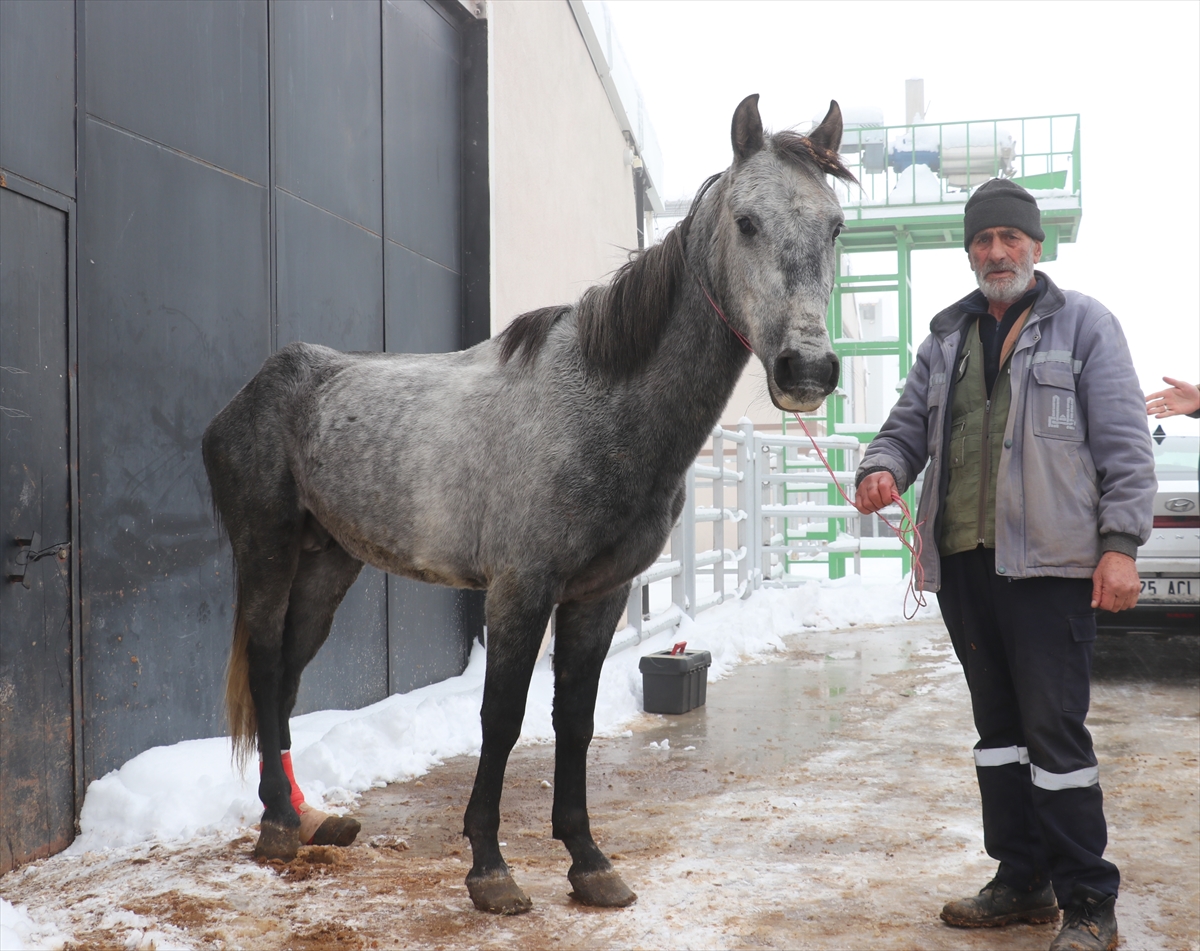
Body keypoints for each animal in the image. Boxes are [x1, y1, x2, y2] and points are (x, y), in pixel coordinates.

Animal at [201, 94, 849, 912]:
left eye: (836, 225)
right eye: (747, 221)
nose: (808, 369)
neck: (598, 403)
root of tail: (254, 391)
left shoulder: (599, 595)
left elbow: (573, 720)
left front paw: (588, 859)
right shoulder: (519, 589)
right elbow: (502, 718)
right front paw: (489, 866)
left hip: (329, 566)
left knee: (285, 675)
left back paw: (306, 816)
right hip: (267, 551)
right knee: (263, 665)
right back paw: (280, 825)